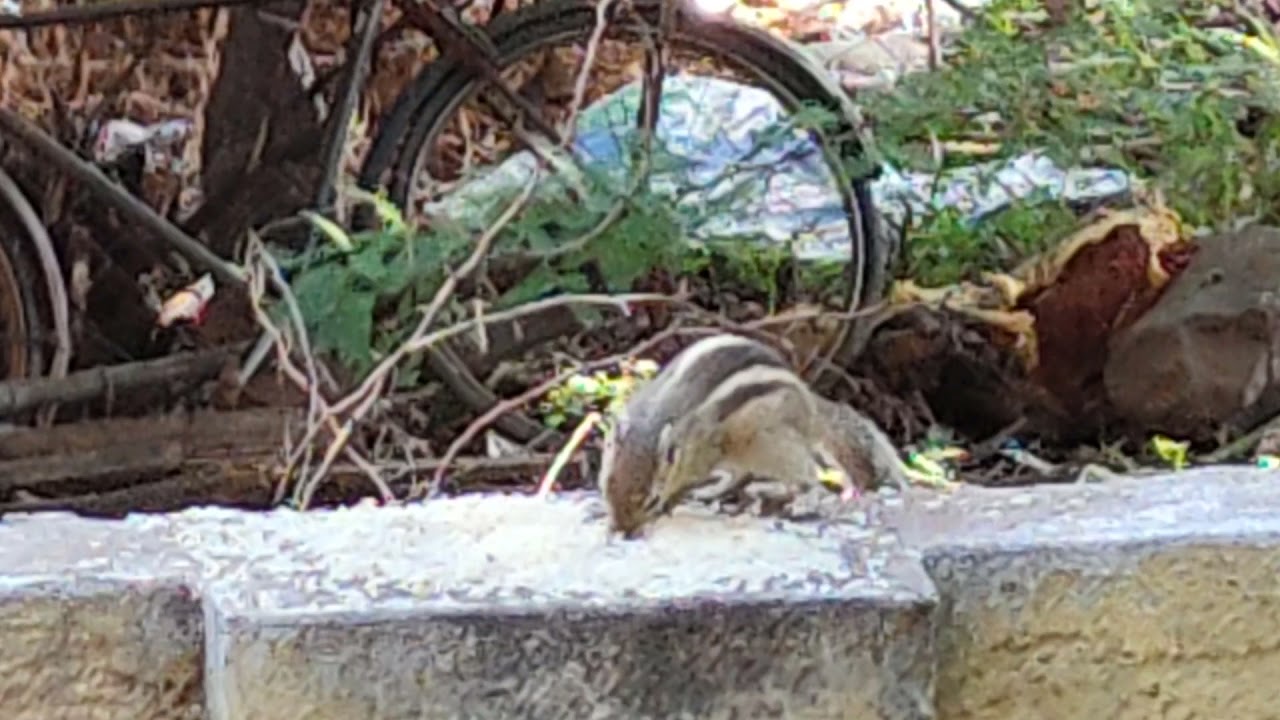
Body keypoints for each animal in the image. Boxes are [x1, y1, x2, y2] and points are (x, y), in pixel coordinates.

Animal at [598, 333, 908, 537]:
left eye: (650, 501)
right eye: (607, 488)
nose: (623, 531)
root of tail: (809, 406)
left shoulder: (701, 454)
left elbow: (682, 485)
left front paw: (669, 504)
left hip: (770, 443)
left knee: (806, 478)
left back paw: (790, 497)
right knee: (741, 475)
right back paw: (717, 491)